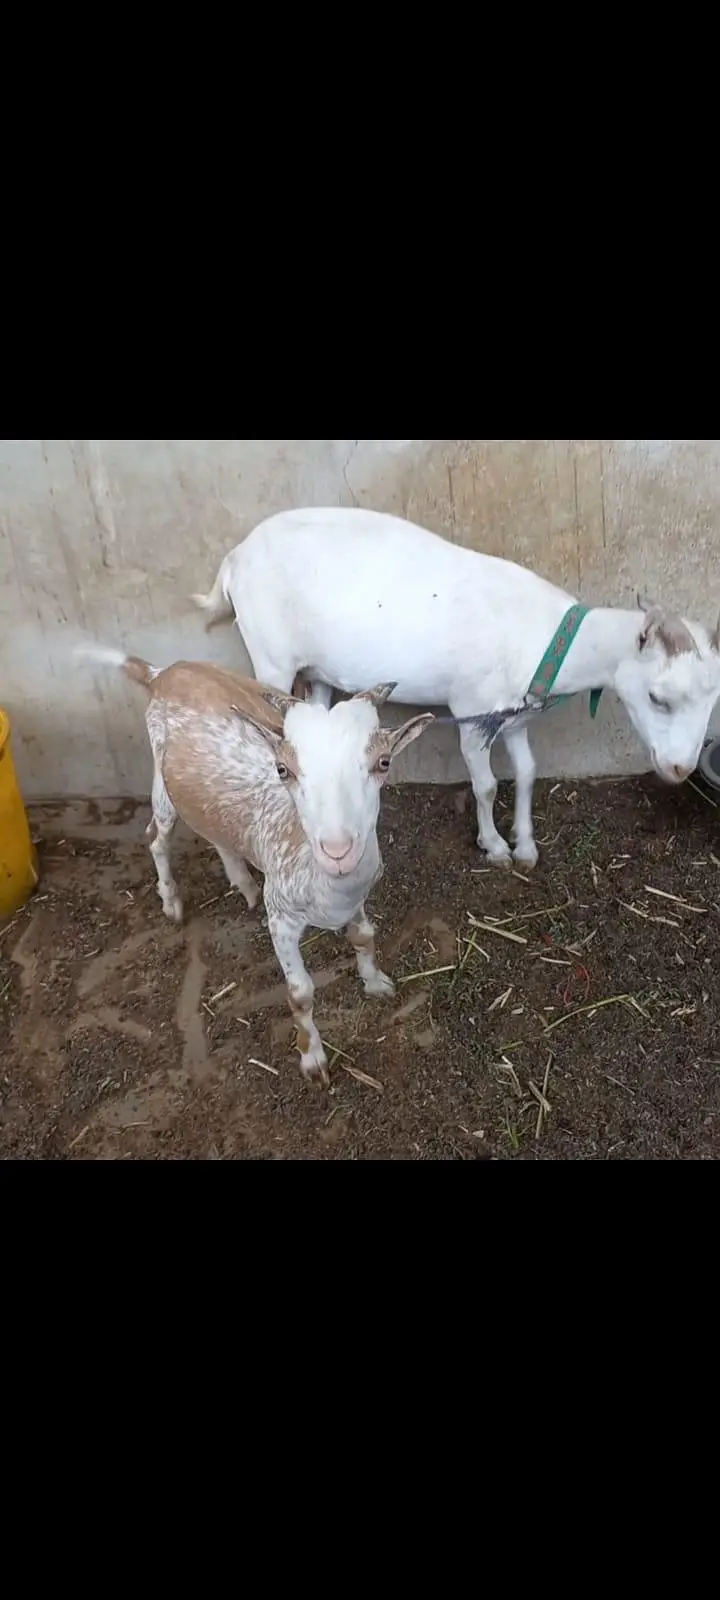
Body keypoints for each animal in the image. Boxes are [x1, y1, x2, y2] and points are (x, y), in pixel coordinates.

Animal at [79, 649, 434, 1084]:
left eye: (383, 762)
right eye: (283, 770)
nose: (337, 851)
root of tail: (164, 672)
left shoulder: (357, 898)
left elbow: (364, 935)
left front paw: (375, 982)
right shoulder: (279, 916)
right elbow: (300, 994)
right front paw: (312, 1059)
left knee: (214, 829)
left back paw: (242, 882)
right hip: (162, 780)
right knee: (156, 837)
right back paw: (171, 902)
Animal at [194, 508, 720, 869]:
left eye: (711, 700)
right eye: (658, 697)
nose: (681, 768)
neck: (538, 634)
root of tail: (233, 559)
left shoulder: (515, 716)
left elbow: (527, 773)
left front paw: (526, 845)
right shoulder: (473, 712)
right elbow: (485, 785)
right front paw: (495, 847)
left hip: (318, 671)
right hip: (270, 657)